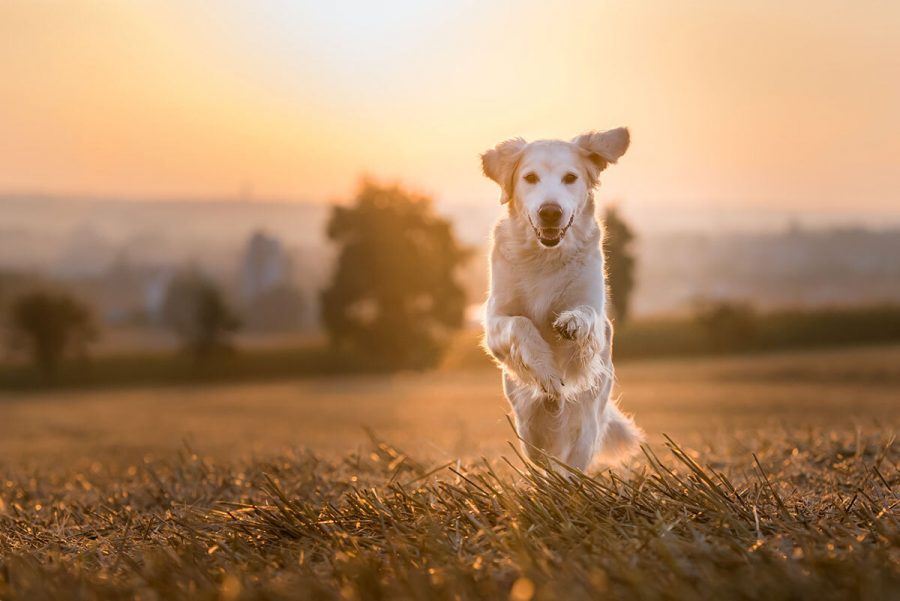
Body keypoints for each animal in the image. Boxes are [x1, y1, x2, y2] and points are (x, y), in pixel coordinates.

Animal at [482, 127, 644, 474]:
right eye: (530, 177)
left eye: (570, 178)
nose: (550, 212)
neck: (545, 256)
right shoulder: (495, 321)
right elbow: (521, 325)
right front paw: (546, 371)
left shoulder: (595, 310)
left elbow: (586, 317)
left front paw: (572, 324)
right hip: (529, 426)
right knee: (543, 459)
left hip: (587, 421)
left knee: (572, 463)